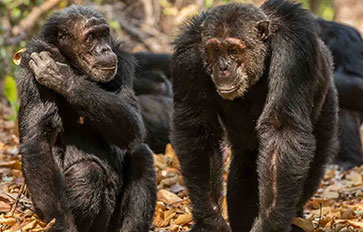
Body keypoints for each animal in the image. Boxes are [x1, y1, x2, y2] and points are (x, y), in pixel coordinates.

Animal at [16, 5, 156, 232]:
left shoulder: (123, 62)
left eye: (103, 34)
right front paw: (61, 223)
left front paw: (63, 78)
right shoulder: (32, 65)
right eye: (91, 37)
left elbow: (133, 120)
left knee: (141, 154)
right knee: (87, 172)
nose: (104, 49)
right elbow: (39, 142)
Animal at [172, 0, 340, 232]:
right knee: (245, 165)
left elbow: (281, 130)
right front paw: (210, 221)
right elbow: (198, 131)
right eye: (215, 50)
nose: (223, 67)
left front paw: (270, 223)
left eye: (233, 50)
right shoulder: (187, 58)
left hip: (329, 104)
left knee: (315, 163)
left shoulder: (293, 49)